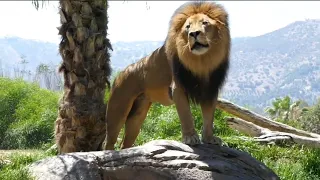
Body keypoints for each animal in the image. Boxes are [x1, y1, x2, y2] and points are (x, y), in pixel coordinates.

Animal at [104, 1, 231, 150]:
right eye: (188, 27)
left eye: (205, 23)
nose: (194, 33)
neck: (201, 62)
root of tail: (120, 74)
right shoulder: (178, 88)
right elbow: (186, 115)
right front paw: (190, 138)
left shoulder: (210, 89)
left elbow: (209, 117)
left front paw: (210, 138)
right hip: (118, 110)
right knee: (109, 142)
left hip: (137, 116)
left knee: (125, 144)